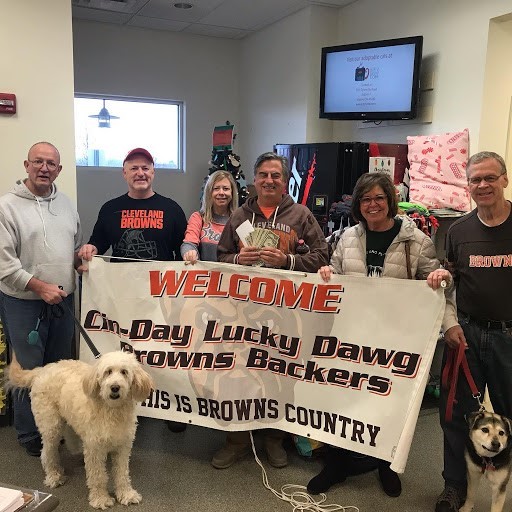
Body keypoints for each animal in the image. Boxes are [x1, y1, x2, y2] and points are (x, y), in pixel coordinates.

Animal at [8, 352, 153, 508]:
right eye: (108, 372)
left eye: (124, 372)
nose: (115, 387)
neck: (112, 411)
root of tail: (43, 369)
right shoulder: (95, 449)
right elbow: (98, 476)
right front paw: (100, 498)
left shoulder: (123, 448)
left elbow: (122, 474)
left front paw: (126, 494)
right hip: (51, 427)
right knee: (47, 453)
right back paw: (54, 475)